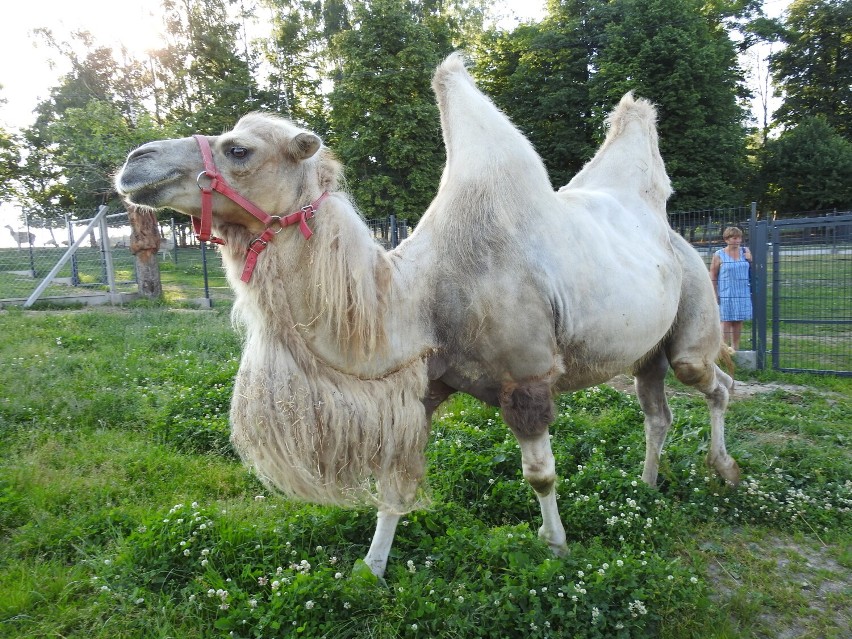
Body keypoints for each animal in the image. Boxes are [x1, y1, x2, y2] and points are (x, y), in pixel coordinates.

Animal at [115, 52, 740, 576]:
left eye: (238, 149)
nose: (133, 162)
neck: (421, 299)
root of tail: (680, 239)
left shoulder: (528, 379)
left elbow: (540, 475)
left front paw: (557, 546)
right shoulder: (425, 383)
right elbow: (395, 484)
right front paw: (371, 569)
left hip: (693, 306)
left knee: (712, 381)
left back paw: (724, 469)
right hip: (644, 349)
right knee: (658, 410)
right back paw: (650, 483)